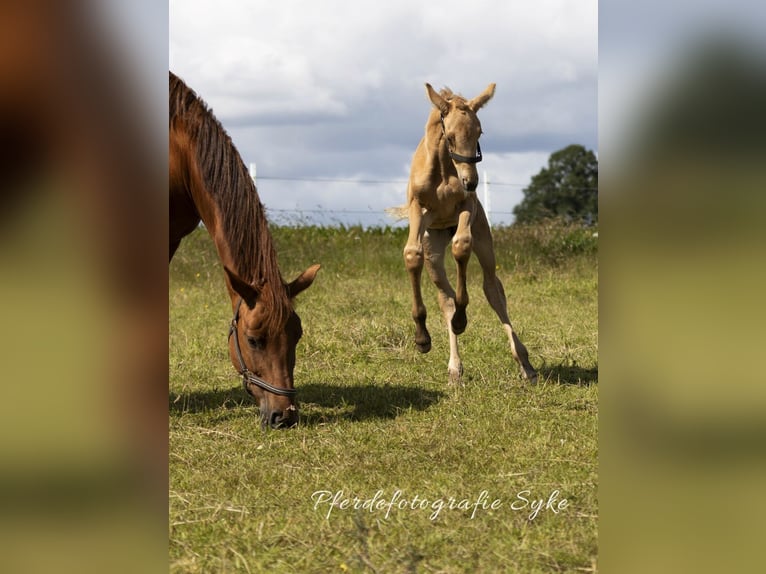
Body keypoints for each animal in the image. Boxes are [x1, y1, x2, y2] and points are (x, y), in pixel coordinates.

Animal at [392, 82, 536, 388]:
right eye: (450, 136)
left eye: (479, 132)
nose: (471, 181)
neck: (445, 171)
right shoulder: (419, 210)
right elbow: (412, 255)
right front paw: (422, 339)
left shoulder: (466, 207)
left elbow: (461, 246)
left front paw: (462, 317)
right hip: (434, 247)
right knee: (444, 297)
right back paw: (455, 369)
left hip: (484, 242)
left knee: (493, 290)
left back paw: (525, 364)